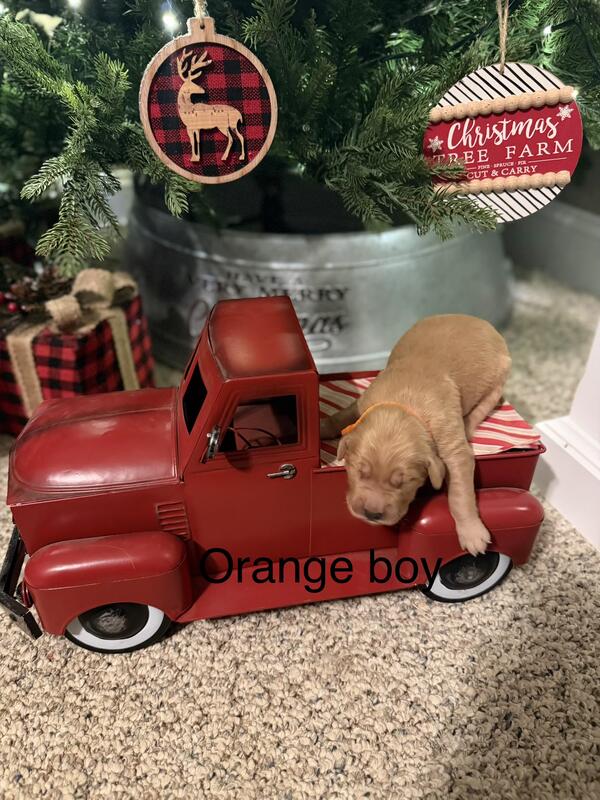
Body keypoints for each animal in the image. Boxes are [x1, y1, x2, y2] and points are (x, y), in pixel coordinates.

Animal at [320, 314, 511, 556]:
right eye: (358, 472)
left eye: (405, 483)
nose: (372, 514)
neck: (405, 402)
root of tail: (481, 321)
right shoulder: (363, 403)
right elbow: (342, 415)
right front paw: (323, 426)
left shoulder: (452, 444)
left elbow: (460, 494)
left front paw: (471, 532)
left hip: (498, 377)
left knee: (488, 402)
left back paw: (468, 423)